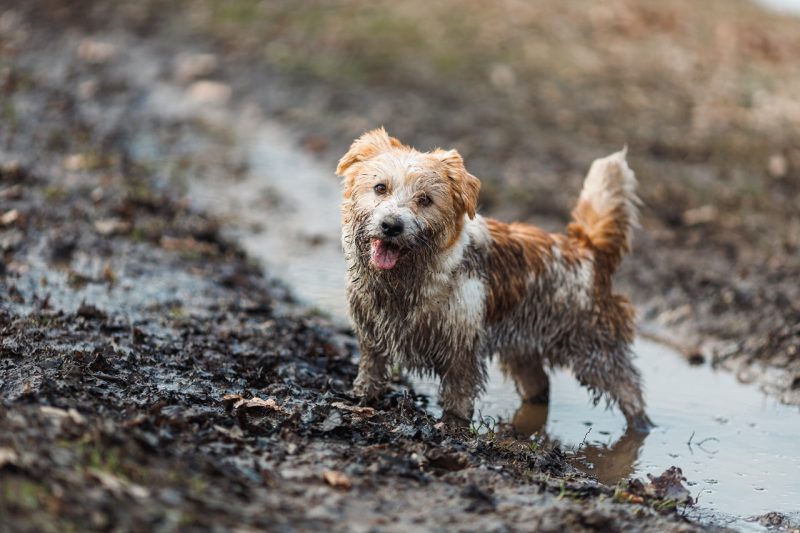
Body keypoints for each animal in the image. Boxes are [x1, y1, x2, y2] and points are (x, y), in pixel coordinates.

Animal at [334, 129, 652, 432]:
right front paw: (360, 398)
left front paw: (454, 425)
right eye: (380, 187)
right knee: (540, 387)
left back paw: (642, 427)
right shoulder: (371, 332)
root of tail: (587, 249)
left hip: (594, 349)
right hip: (524, 350)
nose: (391, 226)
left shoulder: (461, 349)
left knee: (630, 390)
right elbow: (370, 369)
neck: (406, 281)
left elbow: (459, 395)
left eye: (425, 200)